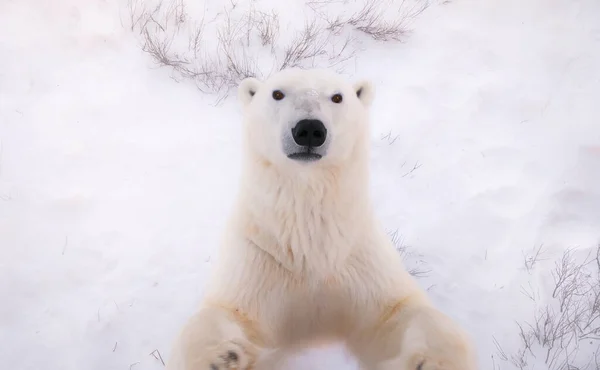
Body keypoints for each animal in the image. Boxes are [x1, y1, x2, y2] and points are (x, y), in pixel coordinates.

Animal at [165, 67, 478, 370]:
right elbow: (227, 312)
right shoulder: (260, 253)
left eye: (337, 97)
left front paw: (434, 361)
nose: (309, 129)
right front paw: (219, 357)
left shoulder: (358, 254)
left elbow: (400, 313)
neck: (311, 245)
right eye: (277, 93)